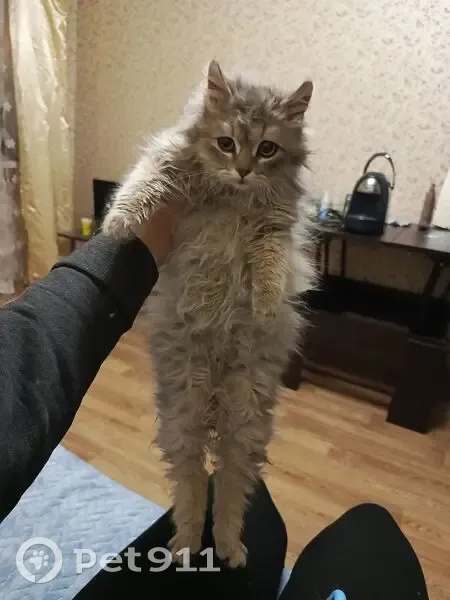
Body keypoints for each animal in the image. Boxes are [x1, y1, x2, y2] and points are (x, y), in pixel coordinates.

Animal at [102, 60, 315, 568]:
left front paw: (264, 306)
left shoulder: (275, 227)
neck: (232, 199)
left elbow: (271, 267)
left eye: (266, 148)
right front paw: (116, 224)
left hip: (246, 424)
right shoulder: (164, 163)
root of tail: (216, 394)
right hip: (183, 417)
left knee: (230, 493)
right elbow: (139, 187)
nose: (242, 169)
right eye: (226, 143)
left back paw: (228, 547)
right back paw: (184, 545)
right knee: (194, 485)